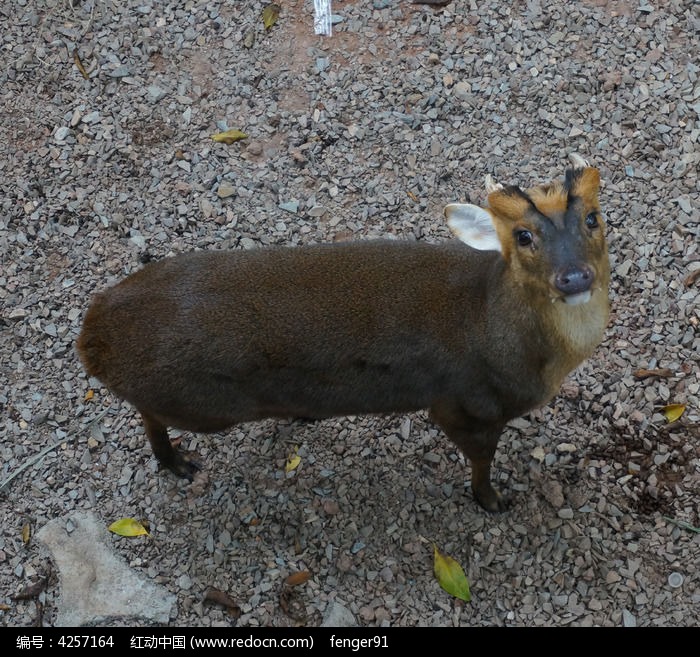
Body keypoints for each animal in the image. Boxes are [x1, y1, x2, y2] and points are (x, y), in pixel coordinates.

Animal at [79, 155, 608, 512]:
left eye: (593, 218)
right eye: (523, 235)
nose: (574, 277)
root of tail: (90, 335)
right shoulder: (464, 406)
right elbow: (481, 462)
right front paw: (492, 500)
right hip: (201, 405)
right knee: (148, 412)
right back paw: (177, 462)